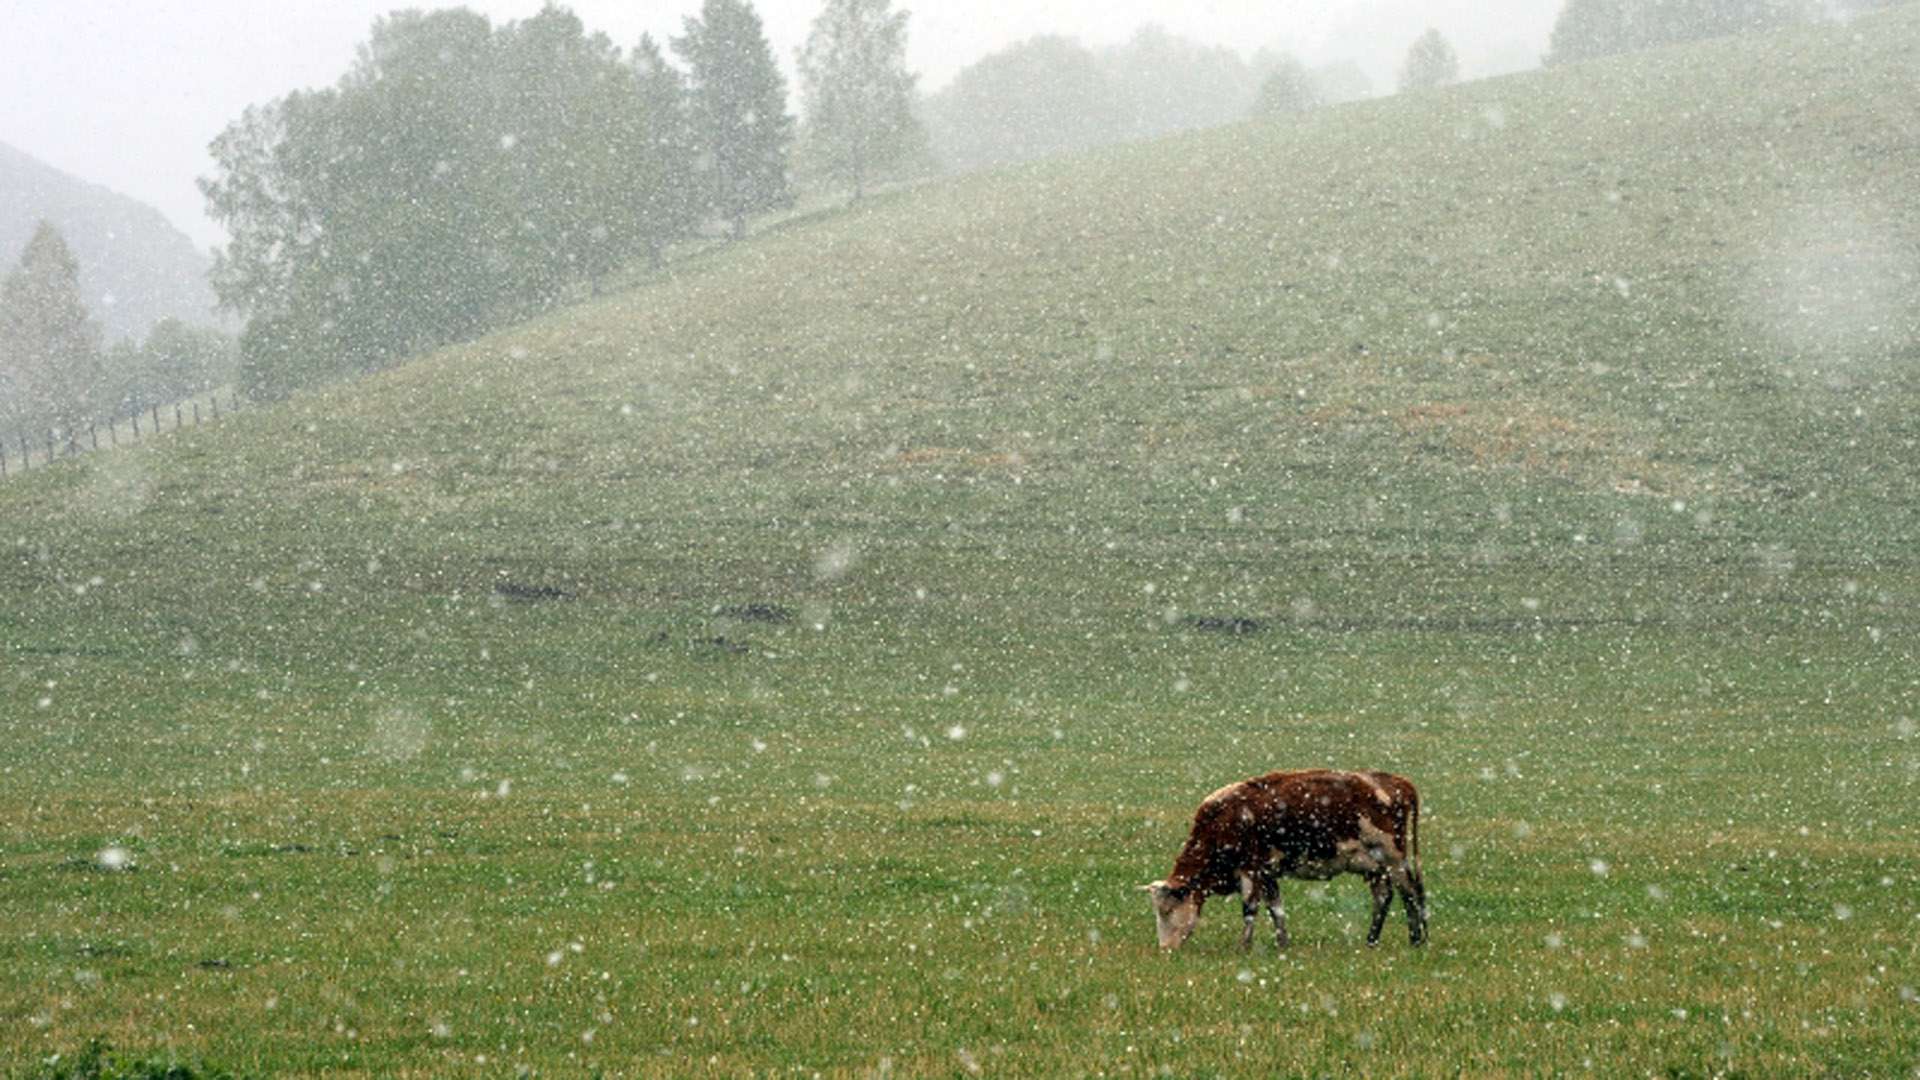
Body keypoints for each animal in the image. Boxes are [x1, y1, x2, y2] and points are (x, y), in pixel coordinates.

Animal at [1136, 764, 1428, 949]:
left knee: (1410, 892)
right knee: (1384, 897)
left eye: (1167, 910)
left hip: (1393, 858)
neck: (1224, 820)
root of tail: (1397, 782)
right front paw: (1282, 944)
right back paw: (1371, 941)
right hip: (1374, 866)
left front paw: (1244, 946)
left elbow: (1250, 909)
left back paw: (1416, 940)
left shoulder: (1250, 870)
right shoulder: (1267, 874)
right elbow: (1276, 909)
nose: (1165, 949)